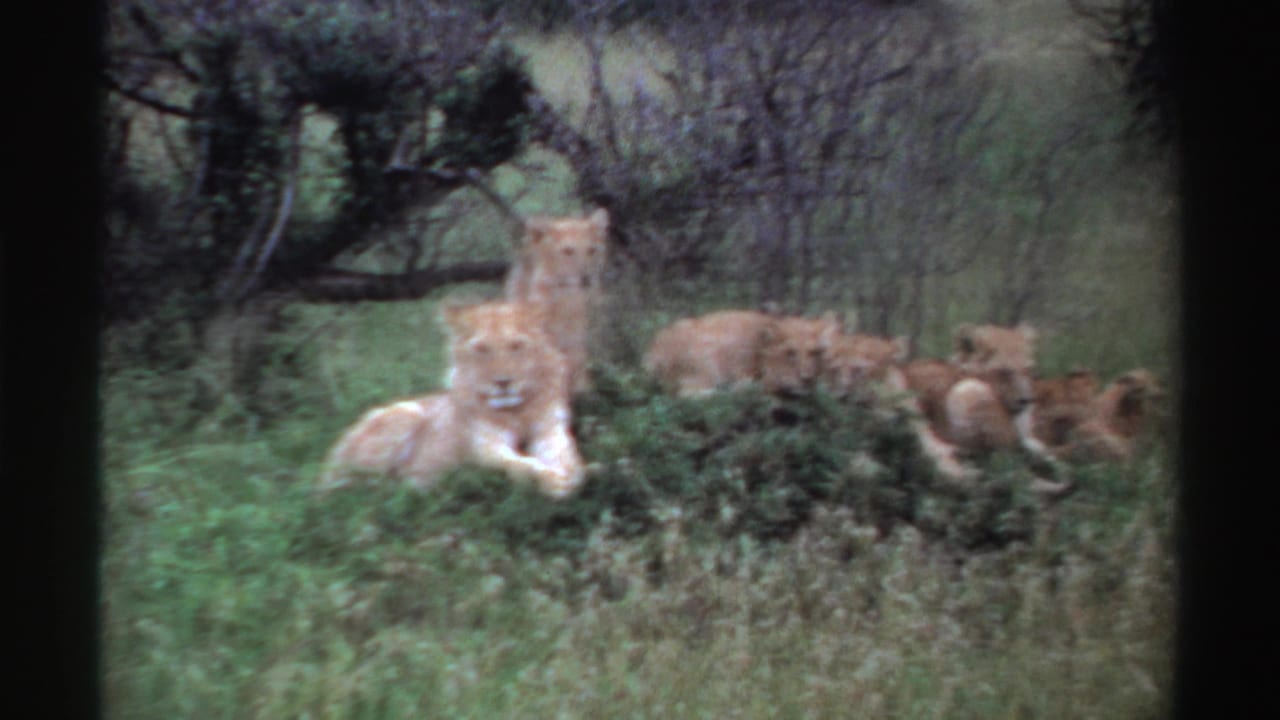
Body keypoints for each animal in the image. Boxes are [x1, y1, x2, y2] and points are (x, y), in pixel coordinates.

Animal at [318, 301, 585, 499]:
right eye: (481, 349)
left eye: (517, 346)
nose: (503, 382)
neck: (517, 411)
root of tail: (332, 456)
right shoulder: (484, 446)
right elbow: (519, 465)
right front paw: (553, 481)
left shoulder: (551, 430)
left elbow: (565, 454)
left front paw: (574, 472)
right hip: (406, 413)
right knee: (356, 489)